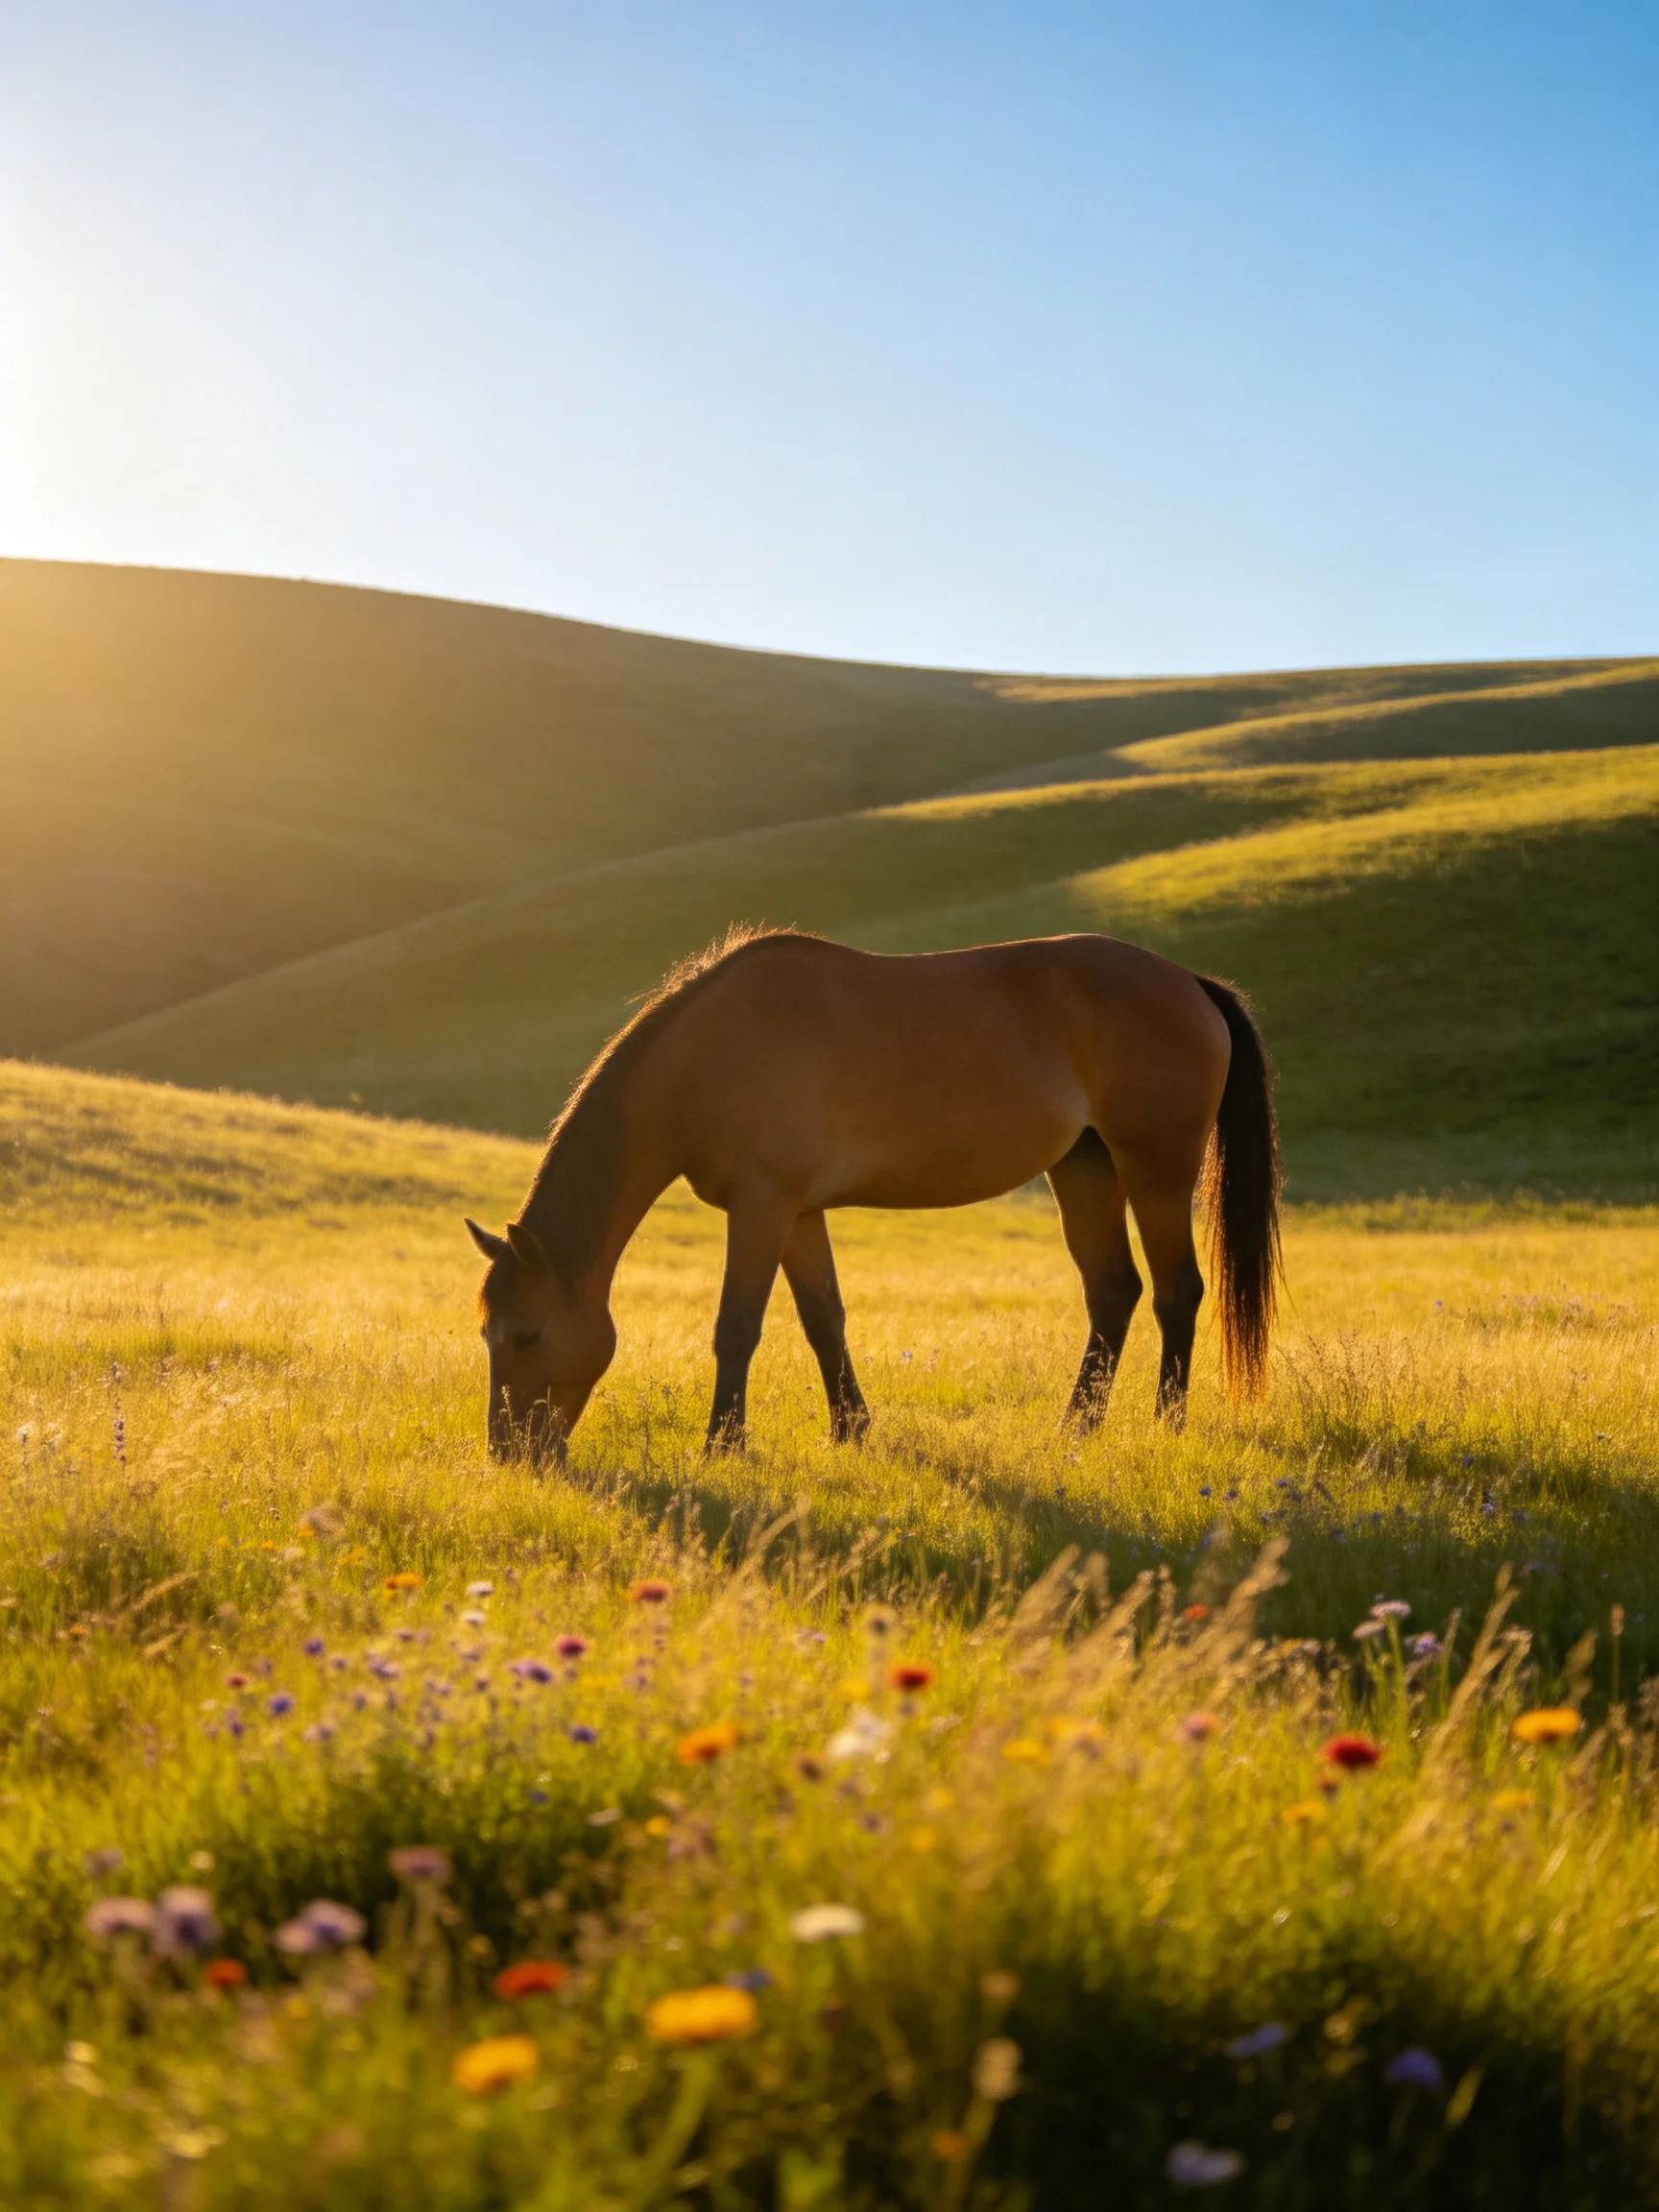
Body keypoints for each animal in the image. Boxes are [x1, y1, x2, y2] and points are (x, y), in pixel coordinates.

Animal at [465, 928, 1280, 1461]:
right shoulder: (797, 1212)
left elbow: (737, 1327)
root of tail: (1191, 984)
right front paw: (851, 1431)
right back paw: (1076, 1428)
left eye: (529, 1334)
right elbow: (823, 1321)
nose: (509, 1453)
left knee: (1177, 1291)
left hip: (1156, 1169)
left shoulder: (762, 1206)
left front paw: (722, 1445)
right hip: (1084, 1169)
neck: (708, 1057)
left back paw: (1165, 1426)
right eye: (487, 1335)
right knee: (1114, 1291)